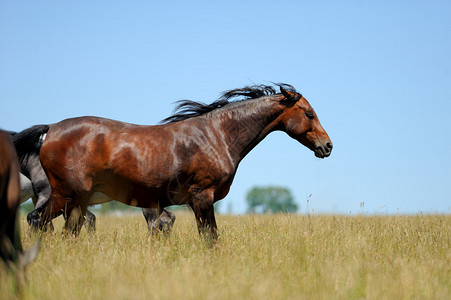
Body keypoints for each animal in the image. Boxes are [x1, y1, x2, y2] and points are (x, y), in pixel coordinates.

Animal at [16, 83, 332, 238]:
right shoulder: (202, 197)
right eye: (309, 113)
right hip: (65, 196)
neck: (216, 135)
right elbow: (210, 238)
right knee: (37, 221)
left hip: (77, 203)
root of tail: (51, 129)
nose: (327, 146)